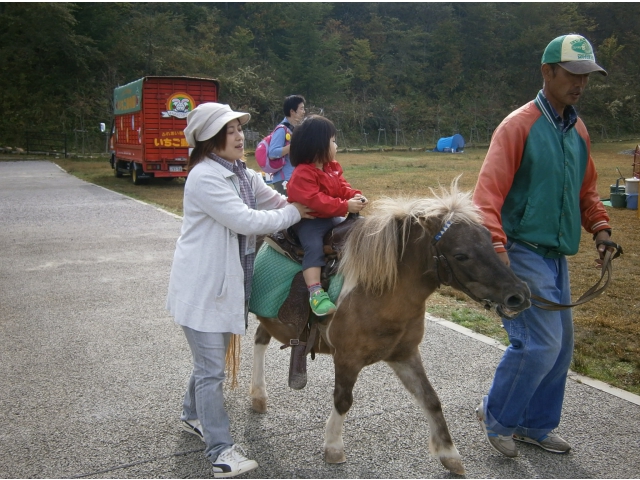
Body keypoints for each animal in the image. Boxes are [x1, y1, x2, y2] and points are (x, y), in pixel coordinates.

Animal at [250, 182, 528, 474]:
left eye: (491, 239)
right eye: (461, 255)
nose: (518, 295)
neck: (380, 289)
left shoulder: (404, 355)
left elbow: (430, 399)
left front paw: (449, 453)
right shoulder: (347, 359)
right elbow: (343, 400)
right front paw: (334, 446)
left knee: (260, 338)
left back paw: (258, 395)